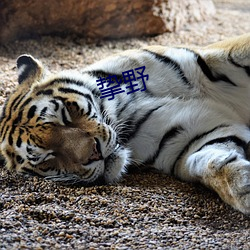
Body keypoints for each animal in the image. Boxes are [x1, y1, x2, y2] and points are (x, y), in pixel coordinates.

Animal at [0, 32, 250, 213]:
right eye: (48, 157)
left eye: (65, 116)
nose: (95, 153)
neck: (123, 108)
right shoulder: (187, 137)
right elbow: (210, 162)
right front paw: (243, 188)